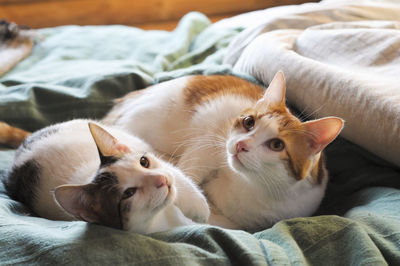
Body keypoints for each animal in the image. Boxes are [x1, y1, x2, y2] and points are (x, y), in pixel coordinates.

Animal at [1, 119, 209, 234]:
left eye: (144, 162)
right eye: (128, 193)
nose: (162, 180)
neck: (164, 215)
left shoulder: (165, 168)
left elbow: (179, 178)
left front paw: (199, 207)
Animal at [103, 71, 344, 232]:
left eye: (277, 145)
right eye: (249, 122)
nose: (240, 145)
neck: (243, 182)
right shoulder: (207, 140)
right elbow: (189, 176)